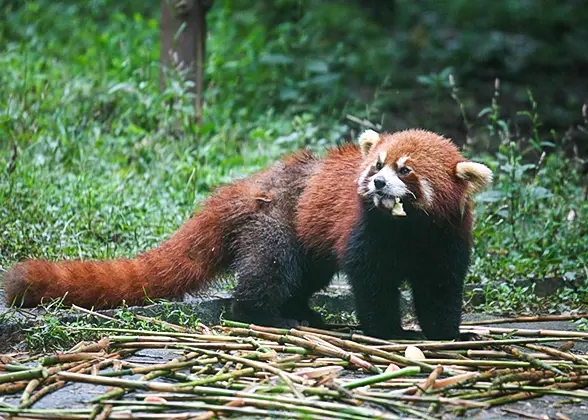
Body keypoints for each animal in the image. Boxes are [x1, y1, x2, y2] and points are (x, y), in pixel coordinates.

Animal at [4, 130, 492, 340]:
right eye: (377, 164)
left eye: (405, 170)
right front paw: (390, 333)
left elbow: (440, 290)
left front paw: (448, 334)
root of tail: (252, 183)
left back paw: (306, 315)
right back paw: (270, 317)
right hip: (276, 224)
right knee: (269, 275)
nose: (376, 184)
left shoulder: (447, 241)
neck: (408, 230)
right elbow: (372, 285)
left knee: (303, 280)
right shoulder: (365, 233)